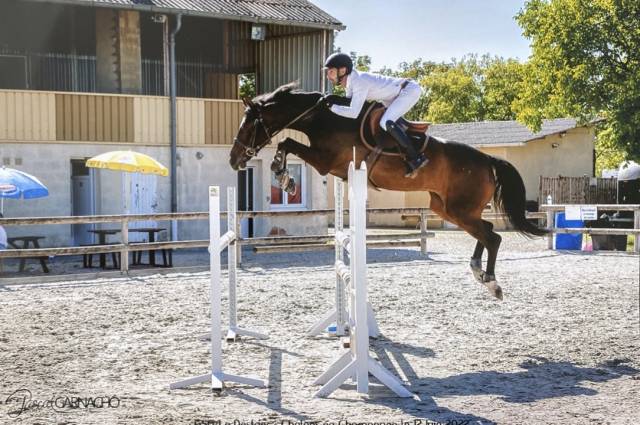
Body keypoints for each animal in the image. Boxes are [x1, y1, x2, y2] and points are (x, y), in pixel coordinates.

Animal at [228, 84, 548, 300]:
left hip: (459, 210)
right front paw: (284, 177)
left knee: (492, 236)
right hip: (448, 209)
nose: (234, 159)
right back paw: (477, 270)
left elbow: (288, 144)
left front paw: (285, 179)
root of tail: (487, 159)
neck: (326, 119)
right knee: (486, 230)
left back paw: (491, 282)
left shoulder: (325, 162)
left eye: (248, 125)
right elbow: (286, 145)